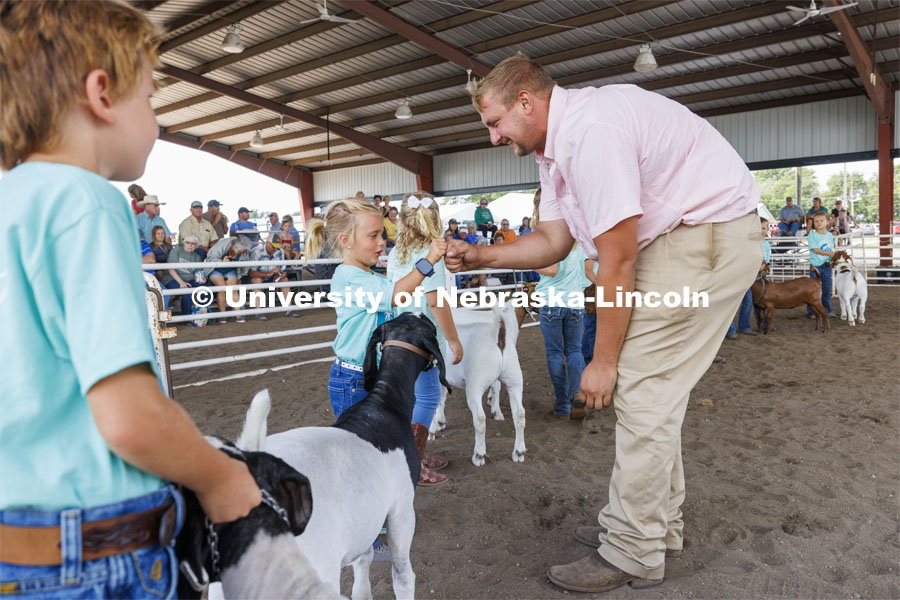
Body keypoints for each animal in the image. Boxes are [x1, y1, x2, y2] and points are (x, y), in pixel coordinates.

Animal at [234, 314, 444, 600]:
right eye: (430, 326)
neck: (383, 406)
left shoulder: (364, 520)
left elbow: (364, 558)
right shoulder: (401, 508)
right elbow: (402, 574)